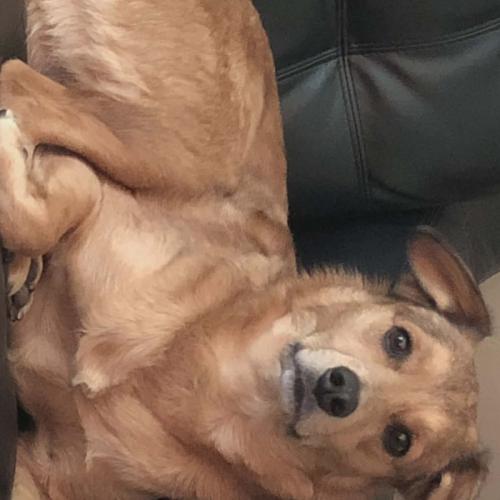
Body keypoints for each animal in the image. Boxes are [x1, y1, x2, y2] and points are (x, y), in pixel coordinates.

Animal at [0, 0, 490, 498]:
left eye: (399, 440)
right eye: (399, 340)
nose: (338, 389)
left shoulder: (44, 474)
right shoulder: (98, 196)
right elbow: (40, 218)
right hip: (155, 149)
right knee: (19, 81)